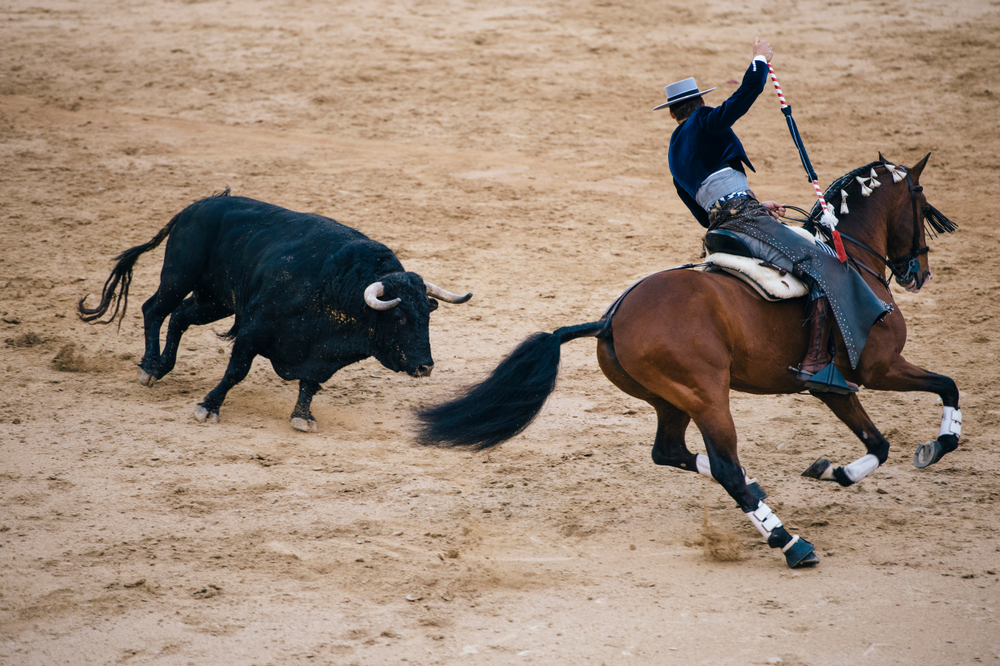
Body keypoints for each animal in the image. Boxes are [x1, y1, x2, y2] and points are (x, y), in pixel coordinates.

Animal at [78, 189, 472, 434]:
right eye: (400, 317)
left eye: (427, 317)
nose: (425, 367)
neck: (334, 288)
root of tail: (196, 206)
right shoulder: (253, 331)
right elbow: (236, 371)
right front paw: (208, 406)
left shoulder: (319, 356)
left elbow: (310, 384)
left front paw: (302, 417)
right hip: (178, 275)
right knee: (154, 310)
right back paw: (148, 367)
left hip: (216, 300)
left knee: (180, 317)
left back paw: (162, 366)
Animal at [416, 154, 960, 564]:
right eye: (920, 198)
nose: (919, 272)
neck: (853, 261)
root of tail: (611, 318)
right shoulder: (879, 368)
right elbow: (947, 386)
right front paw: (938, 444)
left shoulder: (834, 387)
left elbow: (879, 443)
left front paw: (835, 472)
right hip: (708, 395)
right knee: (724, 467)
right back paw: (790, 542)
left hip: (672, 399)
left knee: (672, 452)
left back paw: (760, 493)